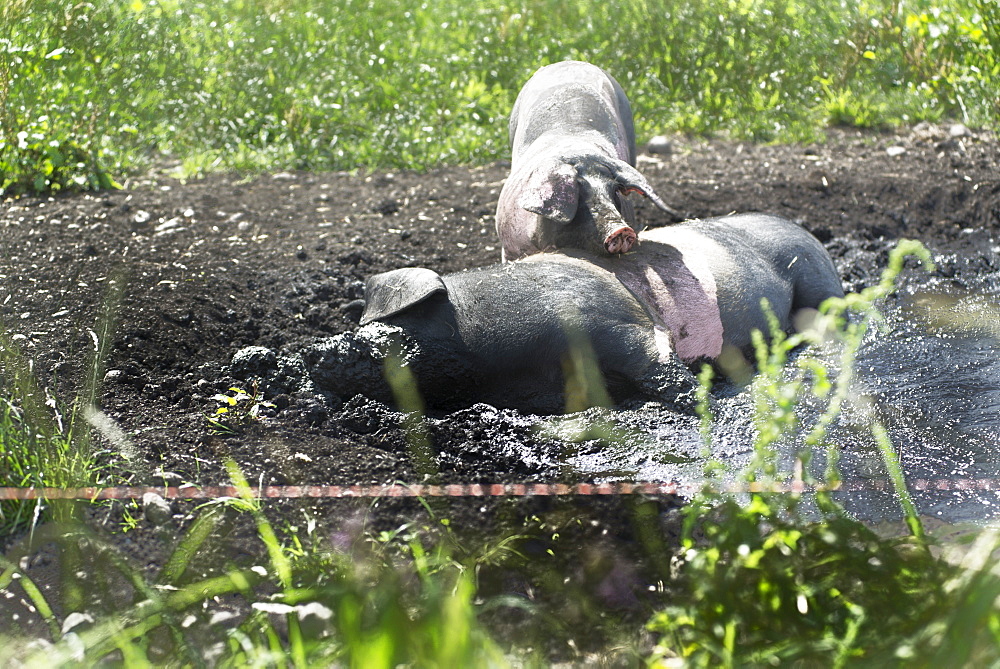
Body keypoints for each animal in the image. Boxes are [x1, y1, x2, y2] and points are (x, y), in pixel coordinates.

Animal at [234, 214, 844, 414]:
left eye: (393, 330)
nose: (318, 353)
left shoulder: (614, 320)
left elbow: (656, 359)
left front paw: (699, 399)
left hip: (817, 282)